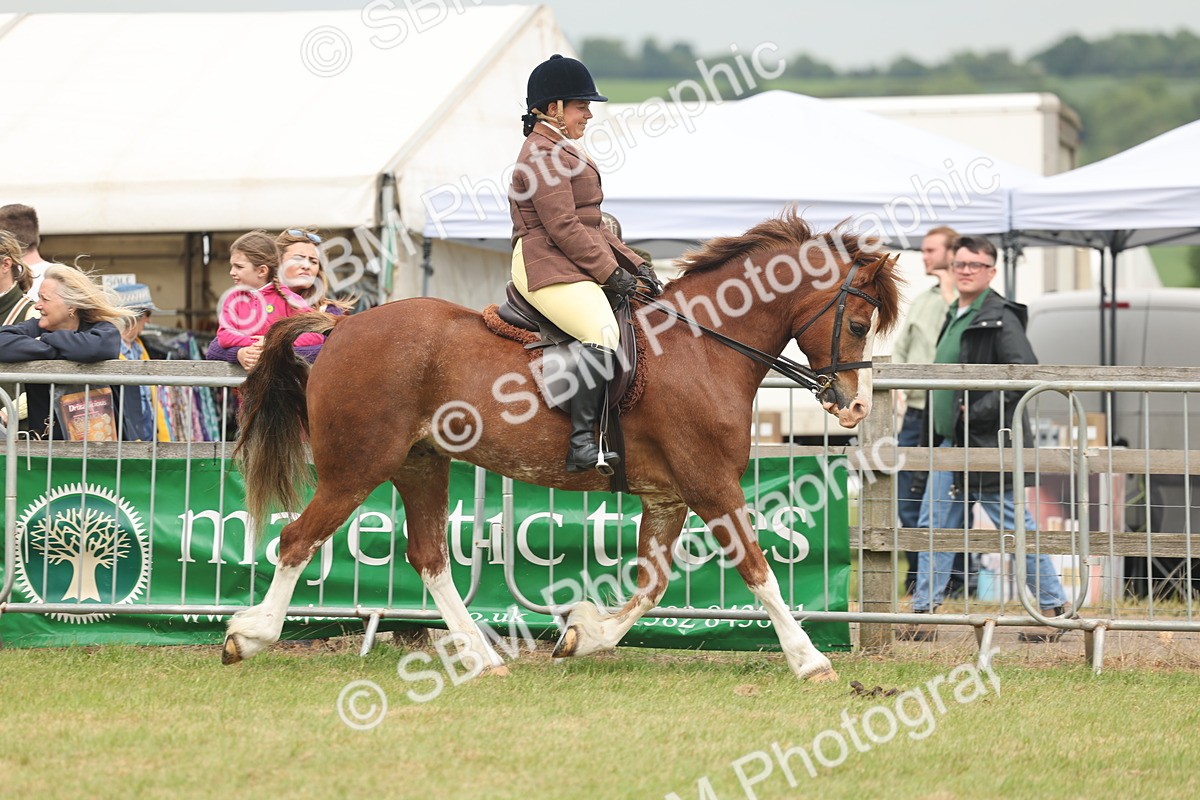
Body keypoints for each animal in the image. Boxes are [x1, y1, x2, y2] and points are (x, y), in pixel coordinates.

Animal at [222, 211, 901, 682]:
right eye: (858, 324)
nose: (856, 407)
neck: (704, 345)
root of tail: (340, 326)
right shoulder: (711, 483)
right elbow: (758, 571)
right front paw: (810, 660)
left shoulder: (669, 497)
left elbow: (651, 585)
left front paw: (582, 633)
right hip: (355, 468)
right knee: (297, 540)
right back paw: (248, 636)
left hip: (420, 465)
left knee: (430, 557)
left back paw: (480, 657)